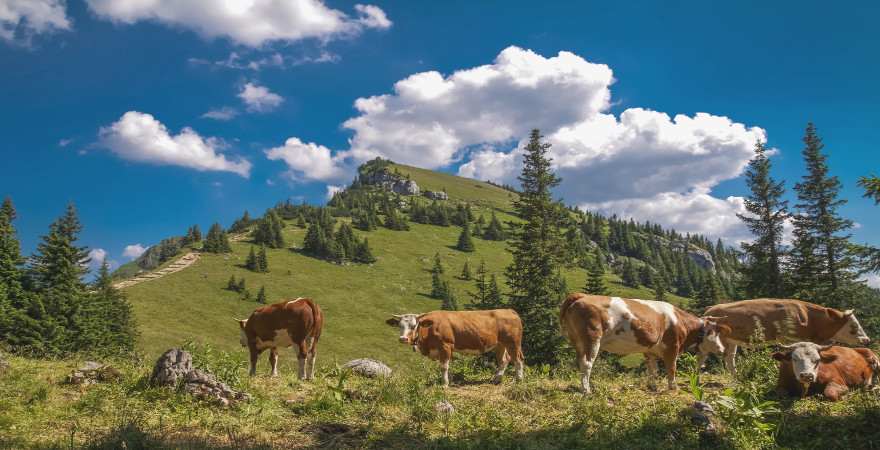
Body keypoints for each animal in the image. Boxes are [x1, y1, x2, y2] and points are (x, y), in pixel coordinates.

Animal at [384, 310, 524, 386]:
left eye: (414, 326)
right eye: (400, 326)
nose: (403, 339)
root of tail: (509, 310)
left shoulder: (445, 345)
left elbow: (444, 366)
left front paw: (445, 384)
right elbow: (446, 366)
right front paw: (448, 380)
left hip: (513, 342)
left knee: (518, 360)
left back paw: (519, 380)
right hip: (500, 344)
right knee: (504, 360)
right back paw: (496, 379)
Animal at [560, 292, 724, 394]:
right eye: (715, 333)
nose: (722, 349)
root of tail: (583, 296)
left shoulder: (650, 350)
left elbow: (653, 370)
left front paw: (653, 387)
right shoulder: (672, 347)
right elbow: (671, 368)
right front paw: (673, 387)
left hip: (578, 341)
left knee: (580, 362)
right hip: (592, 338)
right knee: (587, 363)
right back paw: (586, 390)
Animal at [696, 298, 868, 376]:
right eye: (853, 326)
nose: (866, 340)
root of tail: (711, 308)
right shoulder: (789, 339)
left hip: (731, 341)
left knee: (729, 358)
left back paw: (736, 376)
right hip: (710, 340)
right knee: (702, 355)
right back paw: (697, 374)